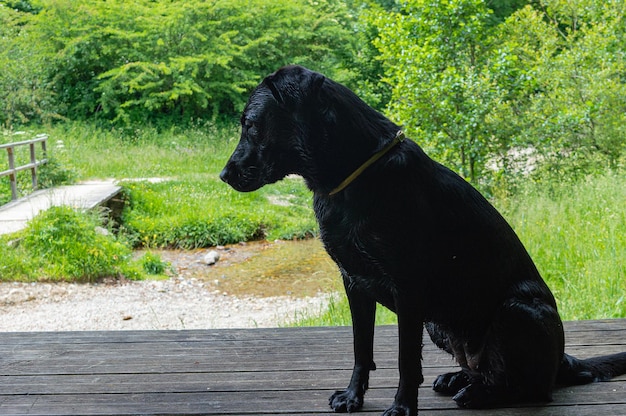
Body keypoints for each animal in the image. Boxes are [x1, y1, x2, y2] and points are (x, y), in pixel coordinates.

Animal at [219, 63, 624, 414]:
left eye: (251, 124)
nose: (223, 175)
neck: (353, 177)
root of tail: (564, 357)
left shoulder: (407, 290)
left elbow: (405, 361)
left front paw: (401, 408)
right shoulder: (354, 282)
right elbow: (361, 350)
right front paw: (352, 397)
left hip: (515, 311)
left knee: (531, 386)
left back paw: (477, 394)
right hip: (440, 325)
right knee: (486, 369)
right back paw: (459, 379)